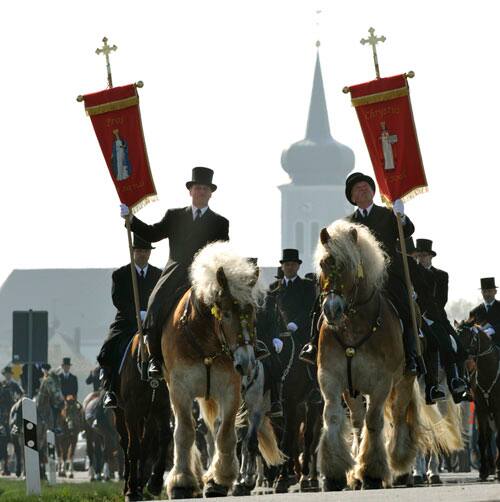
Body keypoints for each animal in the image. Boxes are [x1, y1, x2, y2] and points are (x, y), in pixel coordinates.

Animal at [163, 242, 266, 498]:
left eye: (252, 311)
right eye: (226, 312)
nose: (246, 362)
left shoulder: (231, 389)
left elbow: (226, 433)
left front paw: (220, 480)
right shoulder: (179, 390)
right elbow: (185, 431)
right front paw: (181, 482)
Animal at [314, 223, 432, 490]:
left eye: (348, 265)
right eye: (324, 263)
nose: (331, 310)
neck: (352, 323)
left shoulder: (381, 383)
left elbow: (375, 422)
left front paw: (372, 472)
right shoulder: (331, 378)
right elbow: (333, 417)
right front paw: (335, 473)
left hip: (404, 381)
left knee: (397, 417)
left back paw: (399, 465)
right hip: (353, 389)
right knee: (358, 421)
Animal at [456, 320, 498, 480]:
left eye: (469, 337)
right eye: (456, 334)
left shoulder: (497, 407)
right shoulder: (481, 408)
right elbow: (483, 439)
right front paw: (484, 470)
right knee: (488, 435)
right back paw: (491, 466)